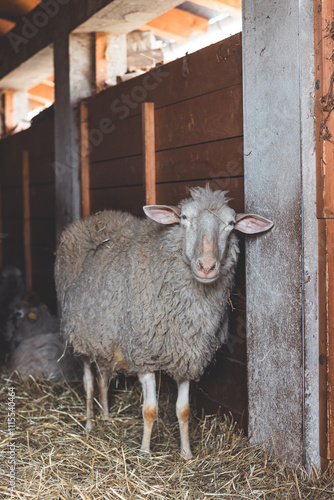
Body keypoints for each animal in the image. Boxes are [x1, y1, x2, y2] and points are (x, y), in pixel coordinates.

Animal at [55, 185, 274, 458]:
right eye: (184, 218)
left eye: (231, 223)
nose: (206, 266)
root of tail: (96, 217)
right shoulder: (143, 355)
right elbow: (150, 409)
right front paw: (145, 452)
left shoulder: (187, 355)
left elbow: (184, 410)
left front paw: (187, 453)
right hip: (81, 335)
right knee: (88, 383)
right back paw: (89, 424)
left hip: (105, 337)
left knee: (104, 377)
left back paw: (106, 416)